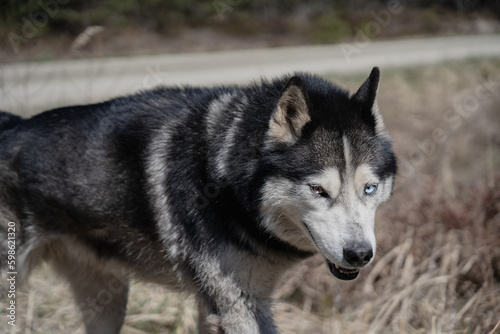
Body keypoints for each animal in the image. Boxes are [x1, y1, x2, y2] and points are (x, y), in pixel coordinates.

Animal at [0, 66, 398, 332]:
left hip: (107, 300)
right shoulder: (235, 306)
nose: (360, 255)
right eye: (318, 190)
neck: (223, 177)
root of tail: (12, 124)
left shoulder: (229, 305)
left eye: (369, 188)